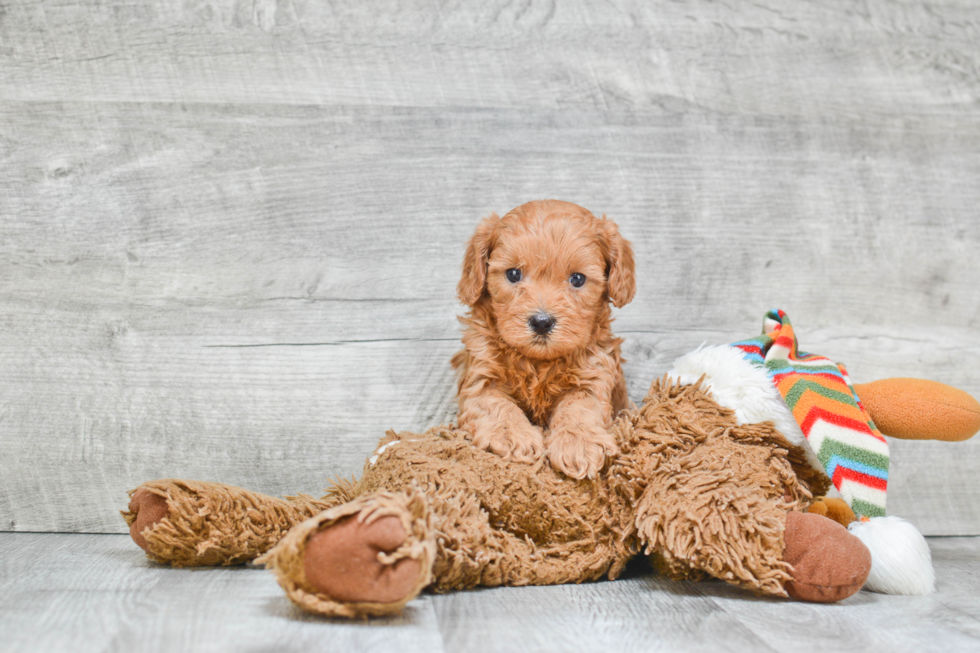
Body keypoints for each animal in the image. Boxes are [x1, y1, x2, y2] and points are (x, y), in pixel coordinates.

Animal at [452, 199, 636, 478]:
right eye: (513, 274)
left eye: (577, 279)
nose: (541, 322)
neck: (538, 362)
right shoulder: (479, 379)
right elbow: (496, 405)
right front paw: (513, 436)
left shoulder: (593, 375)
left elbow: (579, 408)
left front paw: (578, 444)